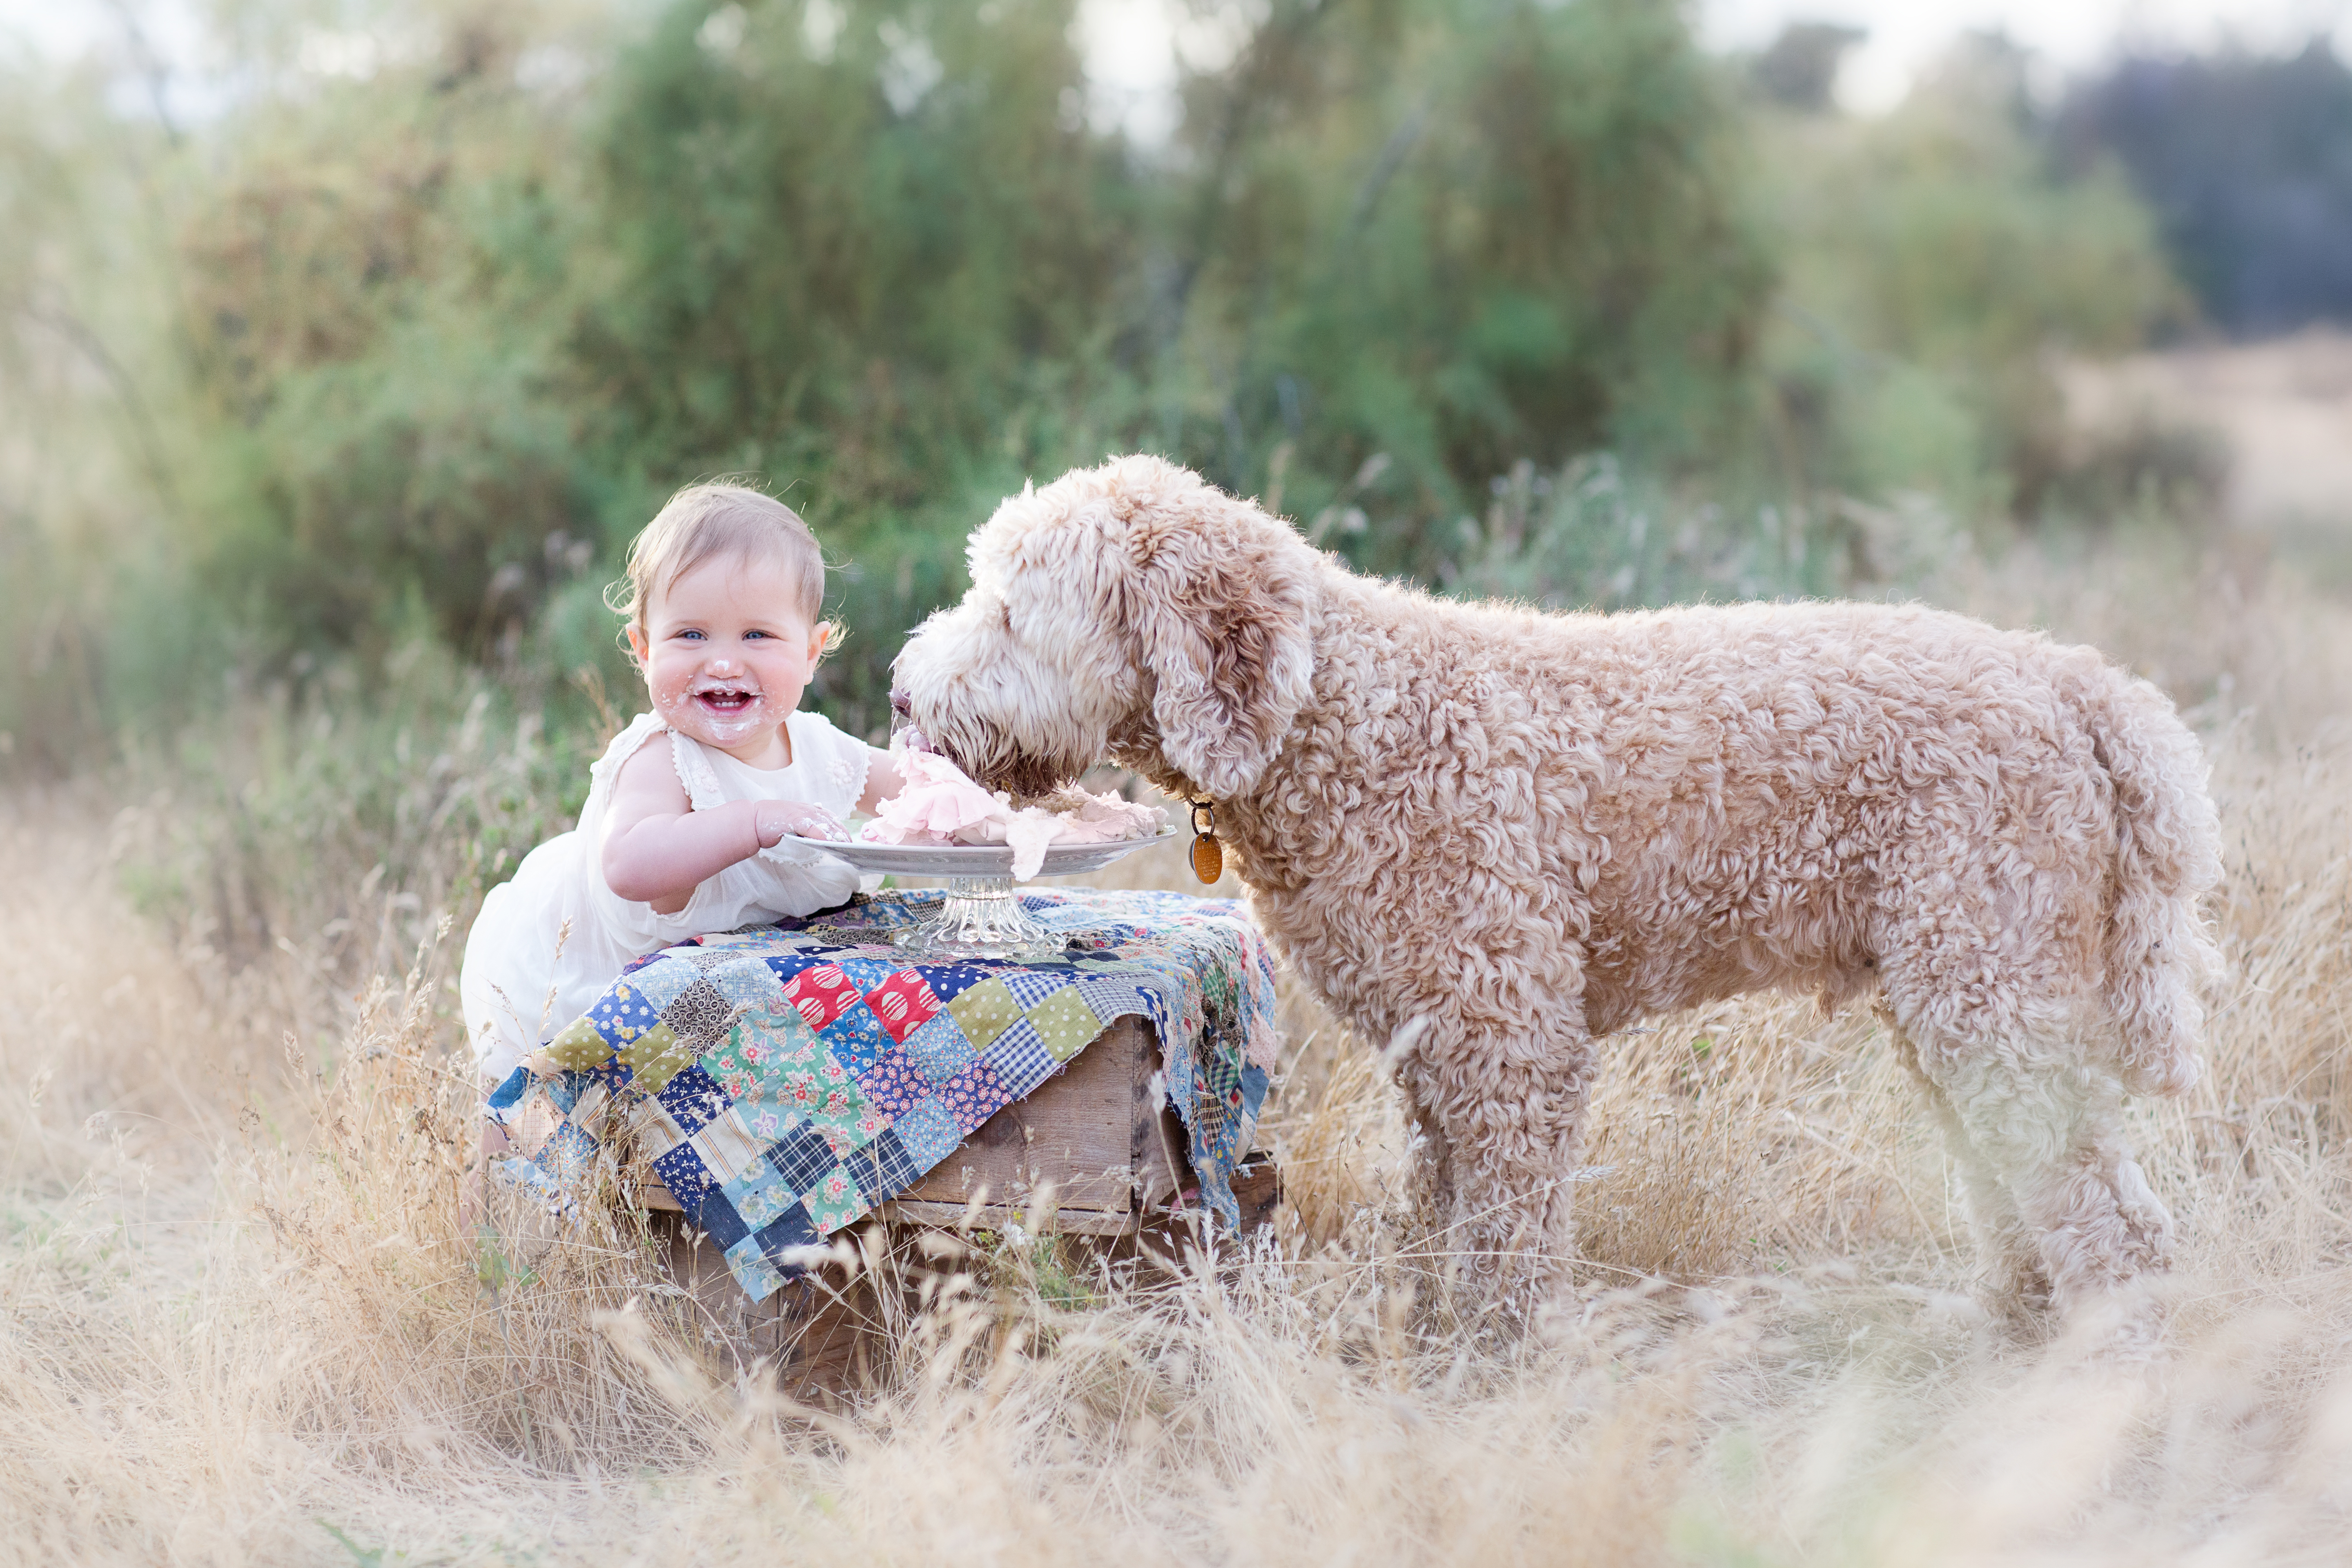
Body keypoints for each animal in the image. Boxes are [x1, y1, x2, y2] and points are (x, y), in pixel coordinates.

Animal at [889, 454, 2211, 1316]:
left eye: (1008, 608)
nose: (902, 691)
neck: (1348, 722)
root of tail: (2081, 684)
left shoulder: (1511, 1045)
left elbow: (1507, 1252)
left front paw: (1492, 1381)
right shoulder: (1435, 1053)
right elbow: (1444, 1225)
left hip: (1989, 988)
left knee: (2118, 1227)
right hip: (1961, 999)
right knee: (2036, 1192)